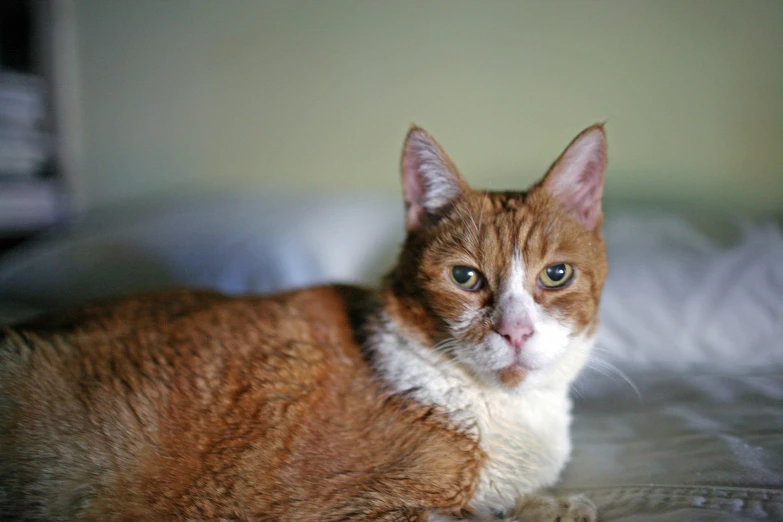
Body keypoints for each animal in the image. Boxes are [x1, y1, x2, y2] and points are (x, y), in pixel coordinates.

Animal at [0, 123, 608, 520]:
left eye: (555, 275)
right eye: (464, 277)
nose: (515, 331)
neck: (509, 414)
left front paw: (555, 505)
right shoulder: (354, 508)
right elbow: (469, 516)